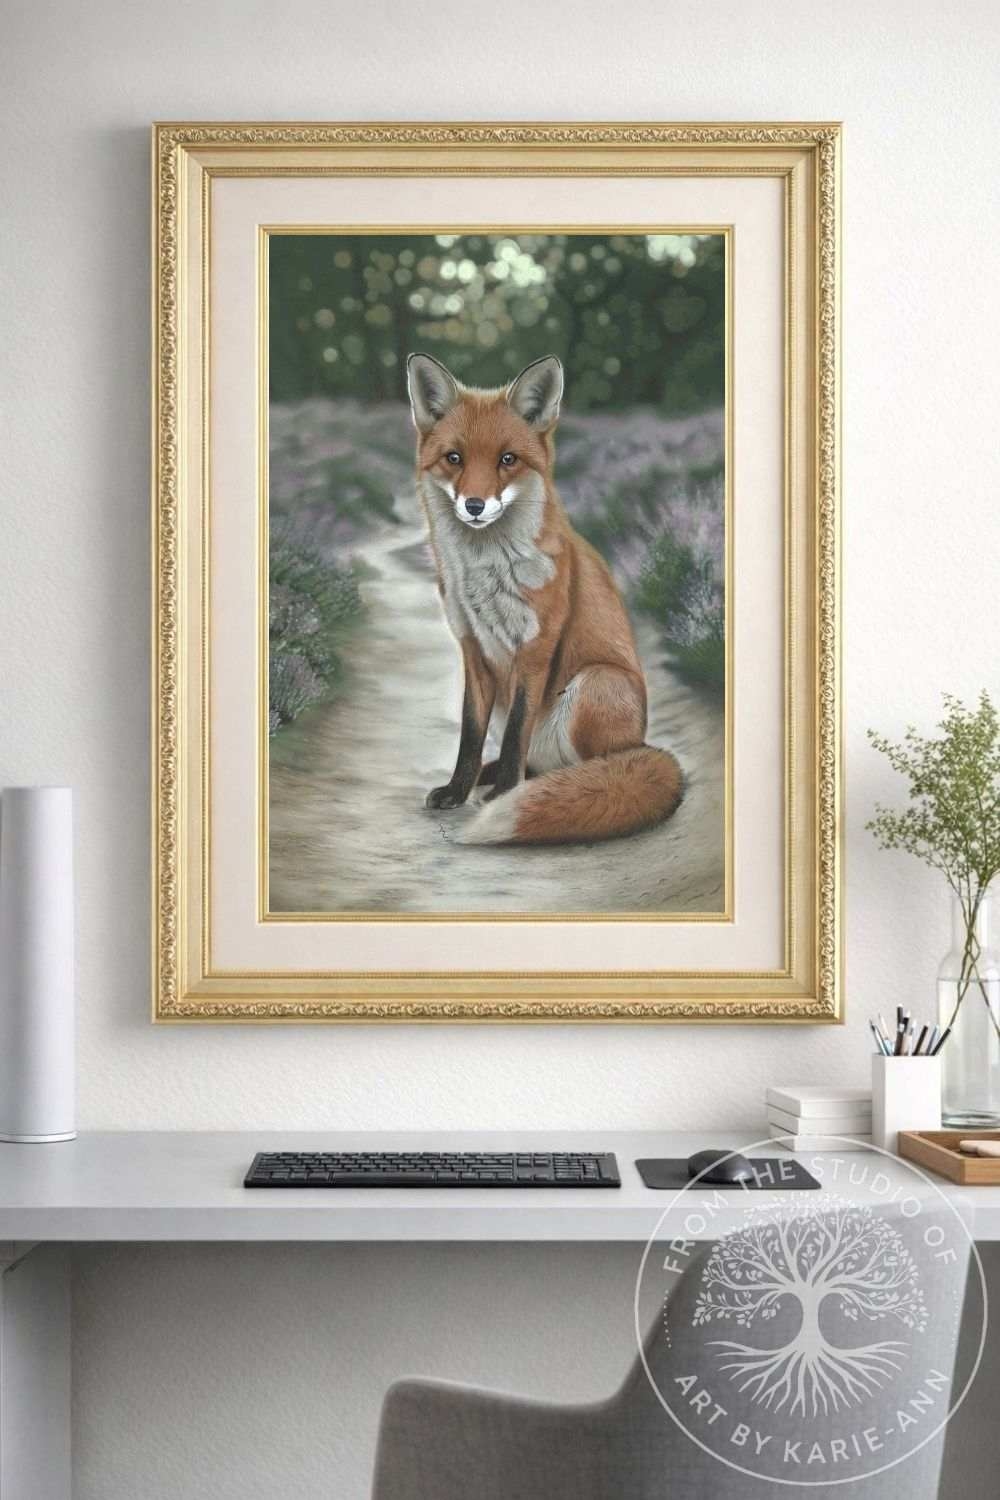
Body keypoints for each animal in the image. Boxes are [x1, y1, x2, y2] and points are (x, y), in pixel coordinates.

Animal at [406, 351, 683, 845]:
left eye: (508, 459)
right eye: (454, 458)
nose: (474, 505)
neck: (485, 573)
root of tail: (643, 744)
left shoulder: (536, 645)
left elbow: (517, 730)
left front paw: (503, 795)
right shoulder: (473, 648)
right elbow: (470, 735)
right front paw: (459, 789)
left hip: (596, 681)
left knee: (586, 769)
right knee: (531, 762)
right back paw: (492, 779)